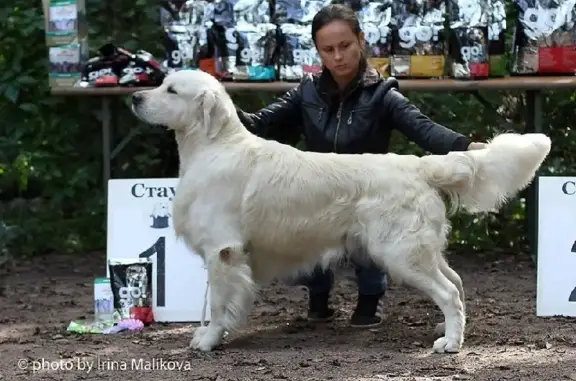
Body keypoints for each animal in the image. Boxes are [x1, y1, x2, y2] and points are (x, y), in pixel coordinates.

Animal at [129, 68, 548, 354]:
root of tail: (418, 165)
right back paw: (448, 332)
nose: (134, 97)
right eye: (161, 83)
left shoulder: (223, 250)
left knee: (448, 292)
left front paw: (210, 339)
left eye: (171, 90)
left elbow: (217, 302)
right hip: (420, 249)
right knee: (456, 283)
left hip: (401, 252)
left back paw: (450, 344)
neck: (215, 146)